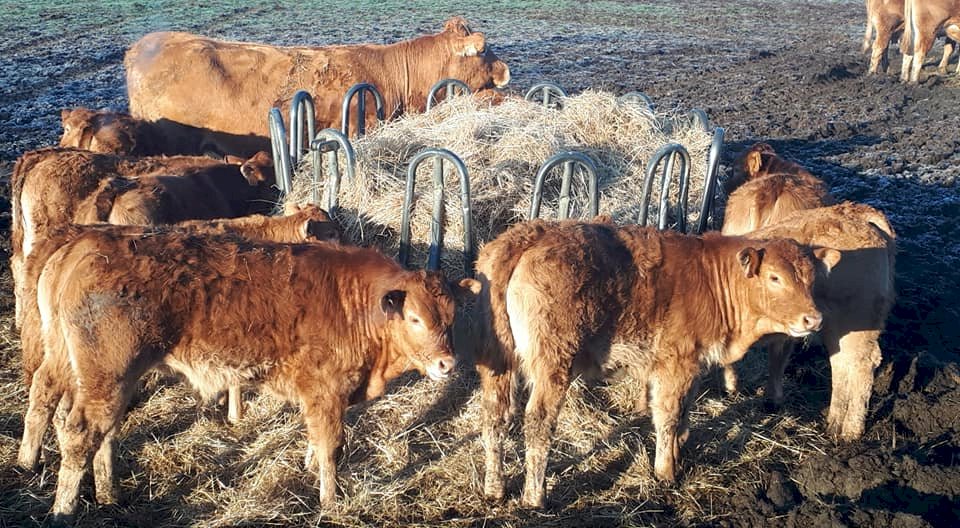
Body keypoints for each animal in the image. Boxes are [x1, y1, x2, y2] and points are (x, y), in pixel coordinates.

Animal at [18, 226, 476, 520]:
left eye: (451, 317)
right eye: (414, 319)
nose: (447, 364)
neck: (353, 303)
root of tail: (82, 244)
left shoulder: (319, 396)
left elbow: (315, 439)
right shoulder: (326, 390)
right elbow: (331, 446)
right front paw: (330, 501)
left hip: (79, 367)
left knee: (71, 414)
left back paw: (99, 490)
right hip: (107, 374)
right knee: (81, 432)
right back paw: (63, 509)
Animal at [472, 220, 840, 508]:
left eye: (811, 279)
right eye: (775, 278)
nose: (814, 319)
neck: (713, 281)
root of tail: (527, 236)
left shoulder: (692, 364)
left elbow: (684, 412)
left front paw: (679, 451)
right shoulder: (674, 363)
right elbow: (668, 414)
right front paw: (665, 471)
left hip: (497, 361)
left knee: (495, 417)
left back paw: (494, 489)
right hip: (553, 361)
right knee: (538, 421)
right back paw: (535, 496)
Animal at [728, 203, 900, 442]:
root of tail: (857, 213)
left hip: (855, 321)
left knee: (861, 365)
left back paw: (850, 430)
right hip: (839, 328)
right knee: (841, 364)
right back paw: (834, 422)